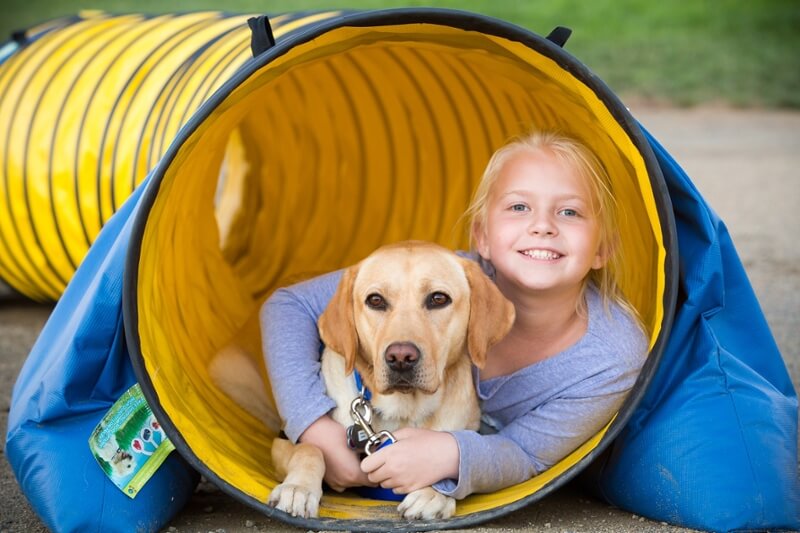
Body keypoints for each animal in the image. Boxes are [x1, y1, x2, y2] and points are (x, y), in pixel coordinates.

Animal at [211, 241, 512, 520]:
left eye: (439, 299)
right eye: (375, 300)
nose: (401, 357)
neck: (403, 409)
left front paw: (433, 493)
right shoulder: (282, 441)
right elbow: (310, 448)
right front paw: (298, 488)